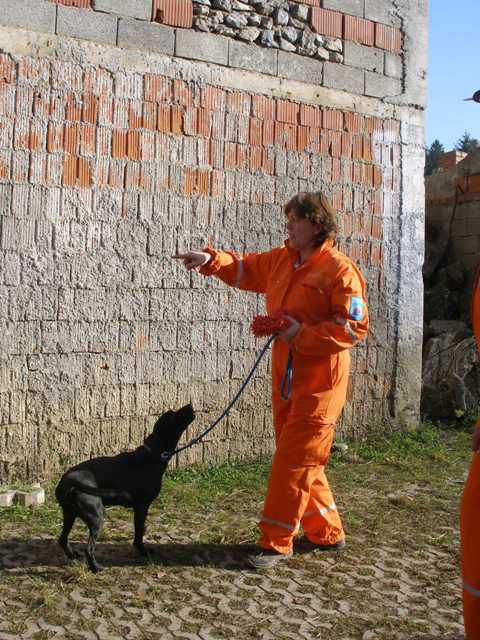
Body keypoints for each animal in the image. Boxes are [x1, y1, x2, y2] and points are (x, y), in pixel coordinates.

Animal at [54, 402, 193, 572]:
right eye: (173, 415)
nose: (190, 405)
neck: (152, 456)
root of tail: (67, 481)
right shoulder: (142, 506)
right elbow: (139, 533)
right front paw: (143, 552)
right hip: (96, 515)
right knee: (89, 549)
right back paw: (96, 568)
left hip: (70, 514)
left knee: (62, 539)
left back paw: (73, 555)